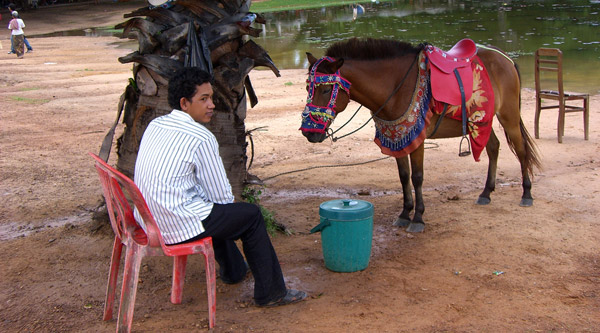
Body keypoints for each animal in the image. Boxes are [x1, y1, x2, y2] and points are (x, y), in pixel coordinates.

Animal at [300, 38, 540, 231]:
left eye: (326, 89)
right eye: (308, 89)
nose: (309, 133)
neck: (395, 85)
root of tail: (504, 57)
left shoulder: (417, 139)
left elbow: (417, 177)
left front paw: (418, 218)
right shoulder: (396, 138)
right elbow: (404, 176)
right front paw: (405, 213)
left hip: (508, 116)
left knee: (521, 150)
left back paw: (527, 194)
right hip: (481, 121)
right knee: (493, 147)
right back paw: (486, 192)